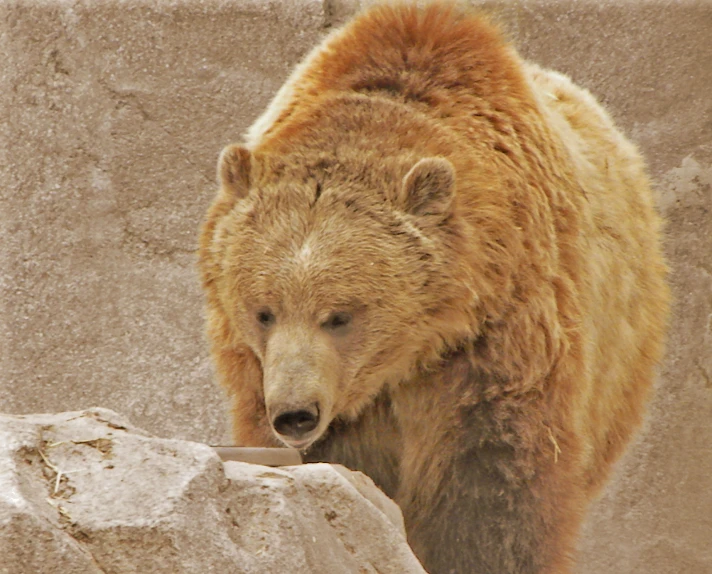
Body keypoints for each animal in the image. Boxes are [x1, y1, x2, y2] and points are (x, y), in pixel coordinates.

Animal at [199, 2, 668, 572]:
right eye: (263, 310)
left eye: (340, 315)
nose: (294, 414)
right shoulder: (275, 378)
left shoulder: (501, 340)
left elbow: (491, 490)